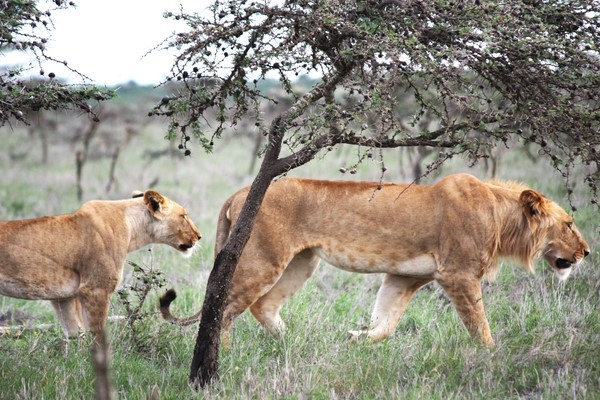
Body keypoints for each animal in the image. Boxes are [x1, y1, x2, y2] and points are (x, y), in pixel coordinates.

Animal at [0, 190, 202, 338]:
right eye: (184, 216)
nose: (199, 236)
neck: (132, 228)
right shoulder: (96, 290)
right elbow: (96, 335)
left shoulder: (63, 297)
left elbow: (74, 336)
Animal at [159, 174, 584, 346]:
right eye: (569, 223)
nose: (587, 253)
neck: (500, 217)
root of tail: (240, 193)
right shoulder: (459, 275)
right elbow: (480, 326)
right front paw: (492, 357)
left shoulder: (404, 278)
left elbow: (386, 322)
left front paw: (357, 338)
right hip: (263, 259)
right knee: (224, 310)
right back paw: (221, 360)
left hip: (302, 262)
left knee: (262, 306)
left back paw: (291, 341)